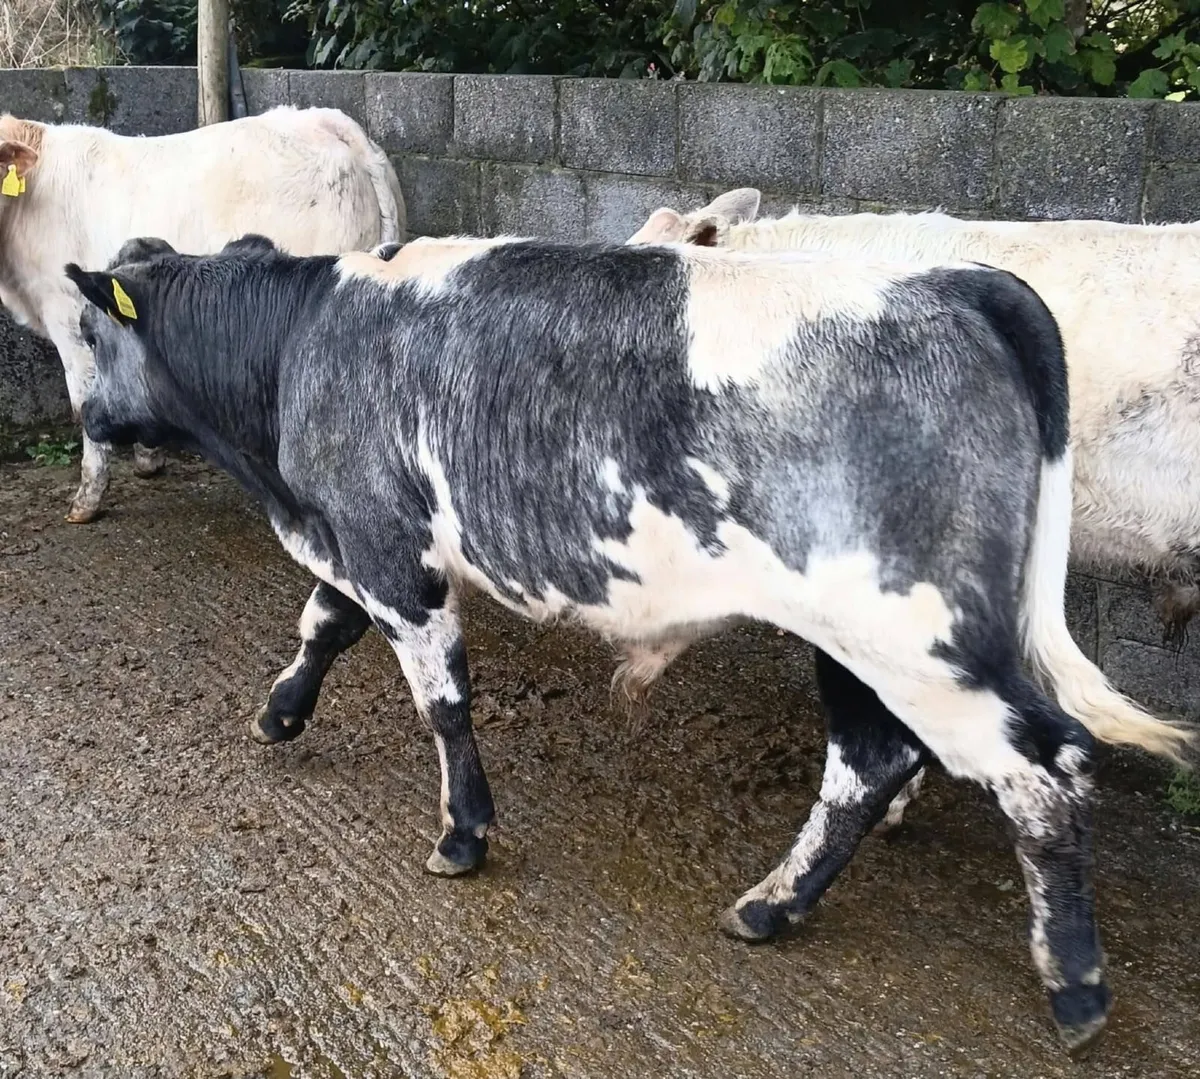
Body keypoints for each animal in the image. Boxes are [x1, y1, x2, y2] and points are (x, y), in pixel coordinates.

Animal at [66, 232, 1193, 1050]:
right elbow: (322, 619)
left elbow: (442, 699)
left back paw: (1075, 987)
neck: (302, 343)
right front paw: (280, 711)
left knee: (1035, 764)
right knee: (876, 759)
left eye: (84, 334)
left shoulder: (385, 543)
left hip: (914, 634)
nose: (88, 421)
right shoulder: (365, 540)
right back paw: (775, 906)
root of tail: (961, 281)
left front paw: (463, 832)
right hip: (868, 637)